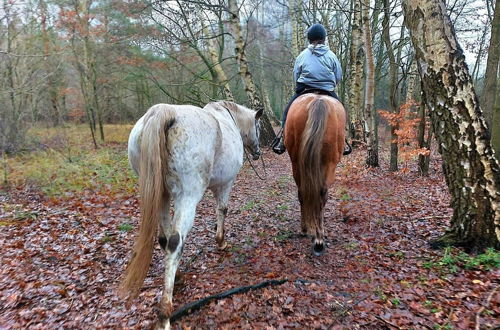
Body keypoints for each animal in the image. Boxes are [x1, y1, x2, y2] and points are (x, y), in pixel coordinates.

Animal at [286, 93, 348, 255]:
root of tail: (318, 101)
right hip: (328, 163)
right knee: (320, 193)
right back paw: (317, 238)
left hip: (297, 162)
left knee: (304, 192)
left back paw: (310, 232)